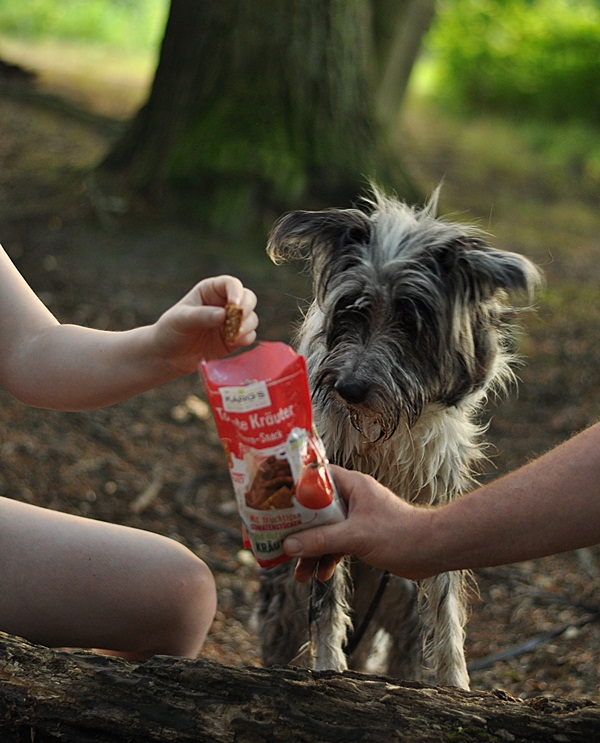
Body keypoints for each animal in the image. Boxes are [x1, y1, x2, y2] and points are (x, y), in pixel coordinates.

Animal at [256, 187, 540, 692]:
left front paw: (456, 682)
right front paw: (327, 666)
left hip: (402, 596)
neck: (384, 428)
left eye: (411, 321)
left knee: (406, 652)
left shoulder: (434, 503)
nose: (348, 388)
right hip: (286, 596)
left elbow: (446, 609)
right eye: (350, 309)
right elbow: (325, 606)